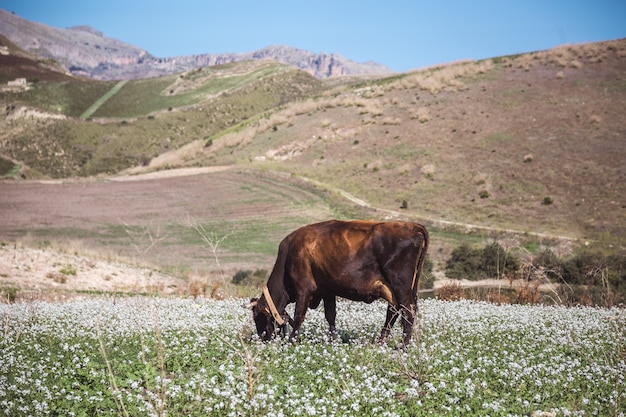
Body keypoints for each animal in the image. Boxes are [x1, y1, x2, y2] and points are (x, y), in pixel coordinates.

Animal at [249, 219, 428, 346]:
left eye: (258, 318)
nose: (262, 339)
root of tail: (413, 226)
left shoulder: (304, 289)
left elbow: (299, 316)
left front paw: (292, 340)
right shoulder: (327, 290)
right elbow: (330, 316)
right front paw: (334, 341)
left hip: (400, 286)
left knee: (407, 311)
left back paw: (403, 346)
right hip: (395, 289)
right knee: (393, 312)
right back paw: (380, 342)